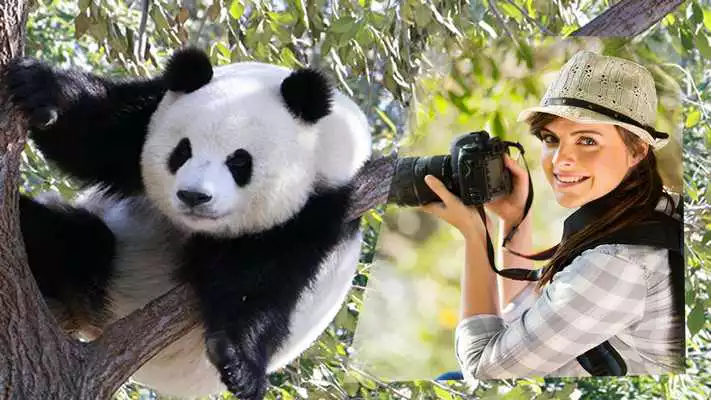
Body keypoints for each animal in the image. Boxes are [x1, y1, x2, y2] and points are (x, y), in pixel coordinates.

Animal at [7, 48, 372, 399]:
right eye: (182, 151)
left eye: (240, 161)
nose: (193, 196)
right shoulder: (151, 111)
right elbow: (96, 137)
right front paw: (42, 89)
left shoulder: (322, 205)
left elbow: (261, 284)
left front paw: (238, 359)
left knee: (80, 243)